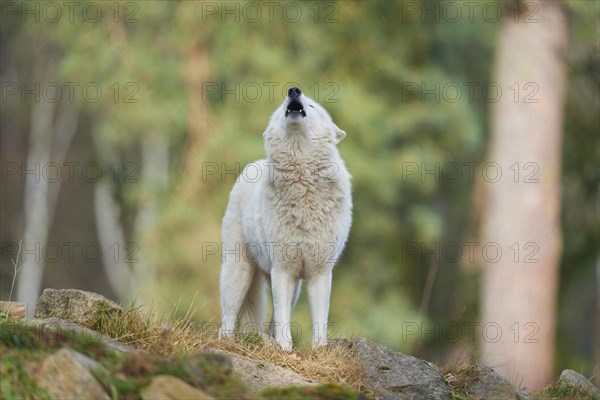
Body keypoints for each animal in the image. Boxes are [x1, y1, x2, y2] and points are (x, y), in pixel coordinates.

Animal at [219, 87, 352, 350]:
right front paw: (285, 348)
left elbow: (319, 319)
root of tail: (252, 164)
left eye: (312, 106)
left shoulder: (319, 272)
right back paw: (229, 342)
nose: (293, 90)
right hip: (239, 271)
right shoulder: (282, 269)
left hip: (291, 286)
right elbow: (283, 319)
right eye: (282, 106)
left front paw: (318, 349)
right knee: (228, 317)